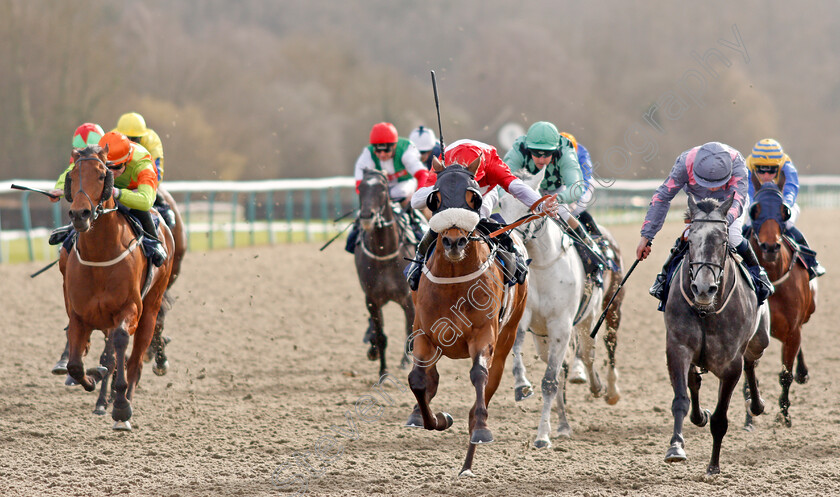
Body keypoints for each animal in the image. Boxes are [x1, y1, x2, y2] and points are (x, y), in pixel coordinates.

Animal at [60, 144, 174, 430]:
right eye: (71, 175)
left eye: (102, 176)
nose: (80, 214)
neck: (100, 256)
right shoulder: (79, 315)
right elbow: (76, 364)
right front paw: (91, 378)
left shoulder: (129, 308)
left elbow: (121, 343)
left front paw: (121, 404)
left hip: (151, 307)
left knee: (136, 357)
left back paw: (124, 399)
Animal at [352, 169, 416, 374]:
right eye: (361, 188)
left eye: (381, 188)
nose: (366, 216)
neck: (384, 252)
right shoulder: (372, 299)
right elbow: (380, 336)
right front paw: (383, 370)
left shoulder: (408, 298)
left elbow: (410, 331)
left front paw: (405, 363)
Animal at [406, 157, 528, 474]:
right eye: (435, 198)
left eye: (473, 197)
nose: (454, 242)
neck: (454, 281)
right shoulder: (425, 333)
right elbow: (419, 380)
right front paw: (436, 418)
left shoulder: (483, 334)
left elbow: (478, 375)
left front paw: (481, 429)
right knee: (429, 378)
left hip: (507, 336)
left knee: (487, 386)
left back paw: (467, 463)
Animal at [668, 194, 772, 472]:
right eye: (690, 240)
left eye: (723, 240)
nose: (703, 289)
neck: (707, 311)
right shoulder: (678, 349)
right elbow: (681, 399)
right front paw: (676, 447)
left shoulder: (731, 364)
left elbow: (720, 419)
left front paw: (713, 466)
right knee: (694, 382)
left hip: (760, 339)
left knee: (751, 362)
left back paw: (756, 405)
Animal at [748, 182, 812, 426]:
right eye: (754, 210)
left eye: (784, 211)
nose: (769, 247)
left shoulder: (793, 330)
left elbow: (786, 374)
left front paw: (784, 414)